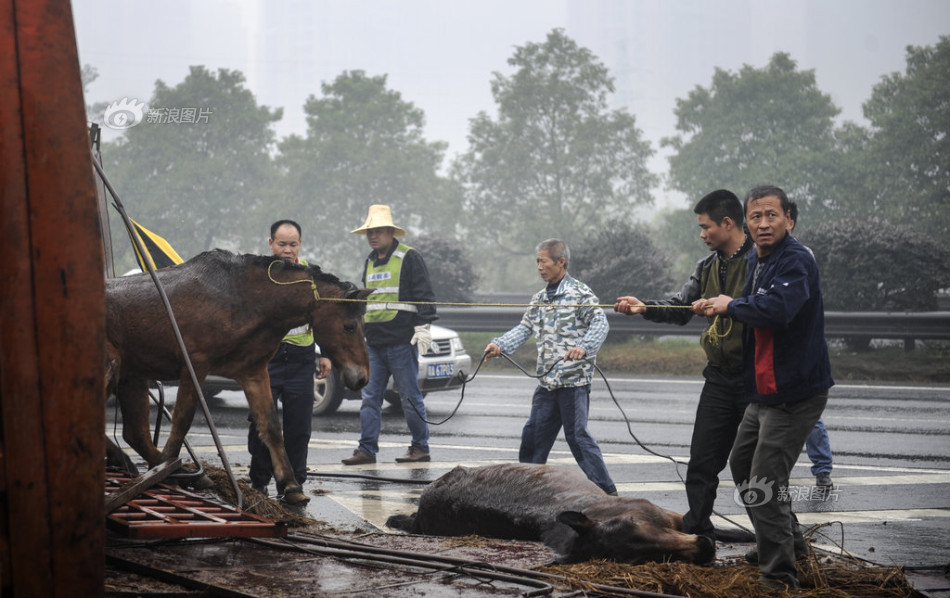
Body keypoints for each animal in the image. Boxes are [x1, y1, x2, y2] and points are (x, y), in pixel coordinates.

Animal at [104, 250, 372, 506]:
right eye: (349, 326)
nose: (362, 378)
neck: (241, 298)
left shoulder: (254, 372)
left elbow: (271, 426)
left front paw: (291, 485)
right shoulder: (195, 365)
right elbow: (182, 419)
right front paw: (171, 463)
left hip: (132, 378)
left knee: (135, 433)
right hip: (114, 371)